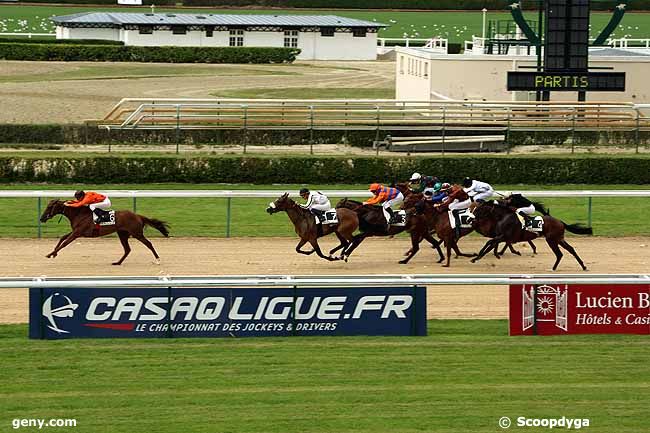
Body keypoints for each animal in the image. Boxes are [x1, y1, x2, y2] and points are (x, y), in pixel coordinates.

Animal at [37, 198, 170, 264]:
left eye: (49, 207)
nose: (42, 218)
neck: (78, 213)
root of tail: (138, 215)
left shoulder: (77, 233)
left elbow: (64, 243)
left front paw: (50, 254)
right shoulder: (76, 231)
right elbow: (62, 238)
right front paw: (53, 253)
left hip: (137, 233)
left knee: (148, 244)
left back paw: (158, 260)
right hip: (122, 234)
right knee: (127, 249)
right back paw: (117, 262)